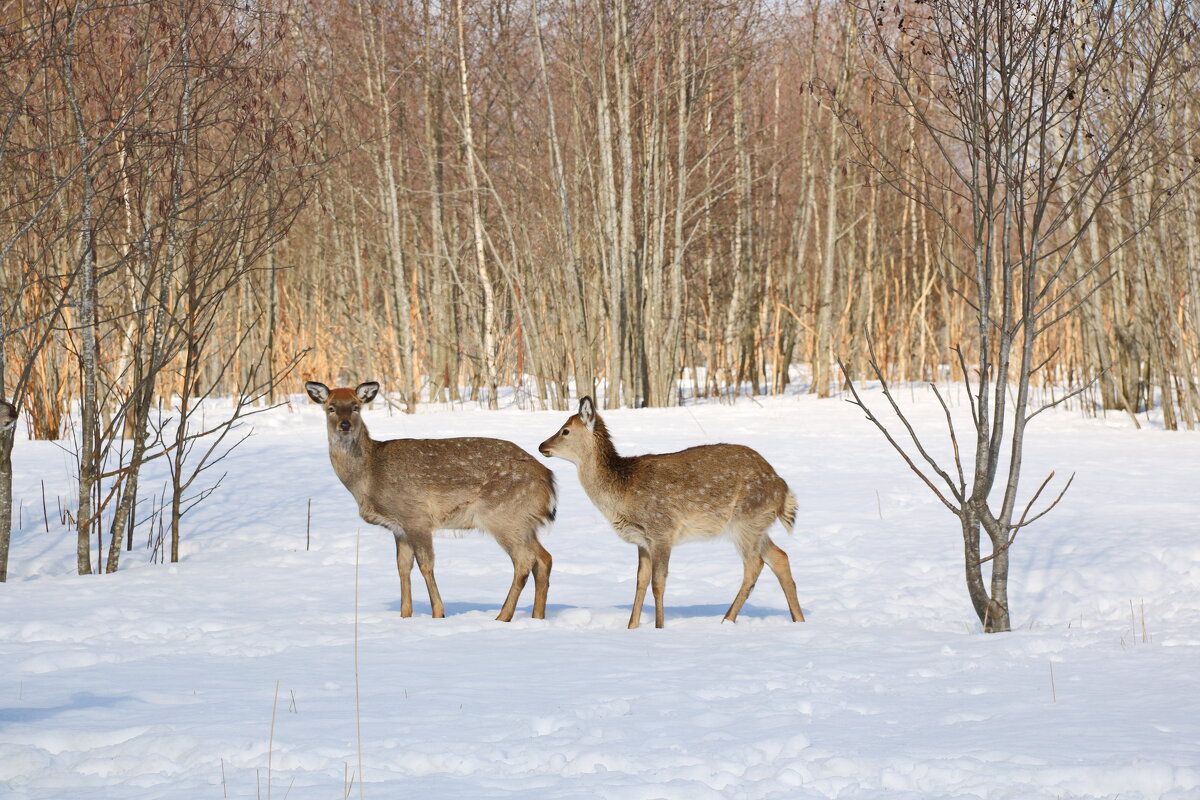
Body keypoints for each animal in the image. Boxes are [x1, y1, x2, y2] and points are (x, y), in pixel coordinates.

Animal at [307, 381, 554, 618]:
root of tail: (547, 477)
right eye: (330, 408)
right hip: (523, 521)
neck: (368, 478)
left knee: (524, 560)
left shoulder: (416, 517)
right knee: (544, 558)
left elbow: (426, 565)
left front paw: (438, 613)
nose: (345, 425)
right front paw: (405, 615)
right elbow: (402, 567)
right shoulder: (398, 527)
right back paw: (536, 616)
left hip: (503, 515)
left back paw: (503, 616)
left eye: (356, 407)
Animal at [544, 398, 806, 628]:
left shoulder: (662, 529)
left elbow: (658, 583)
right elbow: (640, 582)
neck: (622, 493)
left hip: (746, 520)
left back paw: (727, 620)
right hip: (758, 524)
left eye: (565, 430)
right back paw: (799, 620)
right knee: (780, 557)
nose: (542, 446)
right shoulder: (642, 540)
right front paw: (632, 627)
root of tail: (782, 488)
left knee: (754, 565)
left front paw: (659, 627)